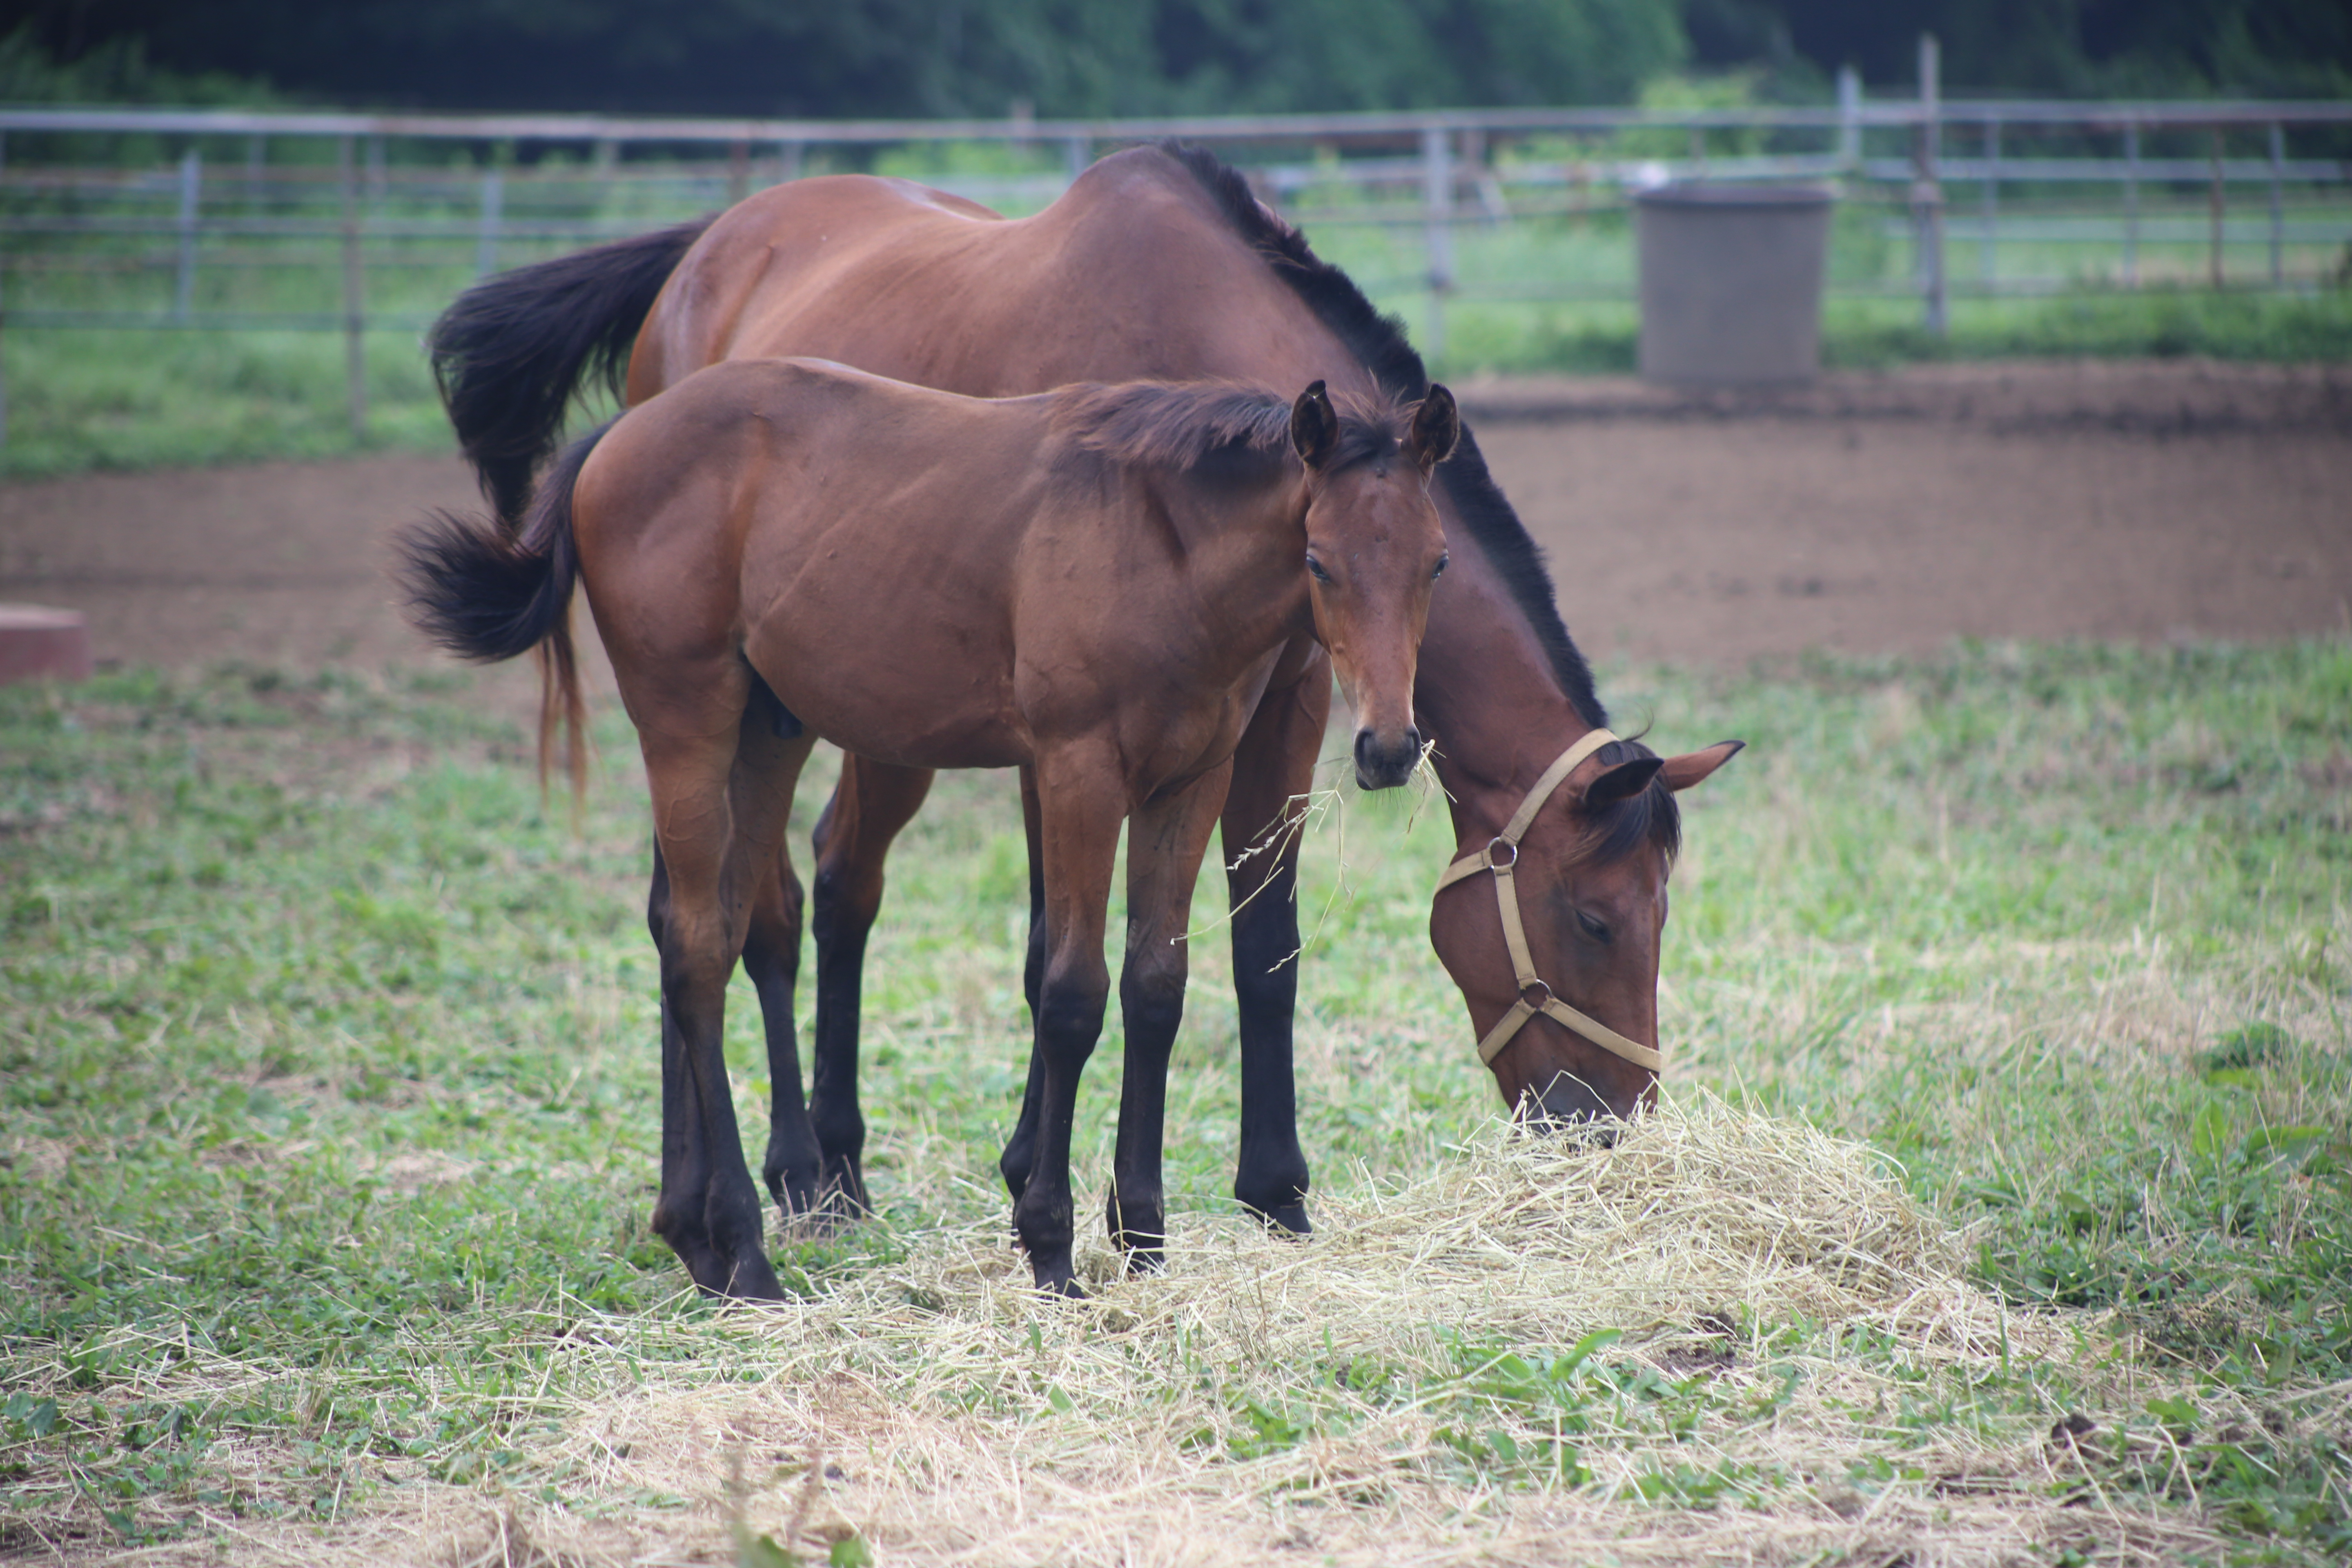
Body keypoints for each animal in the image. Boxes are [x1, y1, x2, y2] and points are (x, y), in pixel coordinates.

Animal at [414, 362, 1458, 1297]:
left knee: (699, 923)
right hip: (685, 722)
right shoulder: (1077, 773)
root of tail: (612, 444)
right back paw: (746, 1251)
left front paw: (1144, 1240)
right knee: (701, 952)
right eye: (1318, 561)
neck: (1158, 538)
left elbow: (1155, 988)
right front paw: (1049, 1245)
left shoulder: (1188, 783)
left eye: (1437, 561)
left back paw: (695, 1236)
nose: (1387, 746)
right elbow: (1072, 995)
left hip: (762, 734)